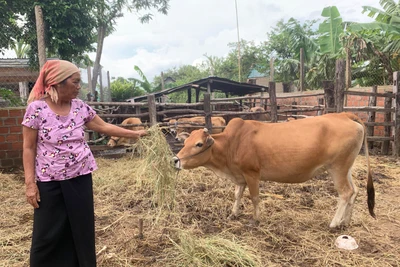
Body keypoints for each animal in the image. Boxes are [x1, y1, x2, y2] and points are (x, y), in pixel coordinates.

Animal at [172, 112, 376, 228]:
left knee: (345, 193)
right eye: (185, 141)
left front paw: (255, 220)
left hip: (337, 168)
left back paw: (334, 223)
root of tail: (344, 115)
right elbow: (237, 194)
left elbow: (254, 197)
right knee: (355, 191)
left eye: (198, 144)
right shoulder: (240, 176)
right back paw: (345, 222)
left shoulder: (252, 174)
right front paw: (233, 213)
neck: (232, 143)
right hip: (346, 167)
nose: (175, 160)